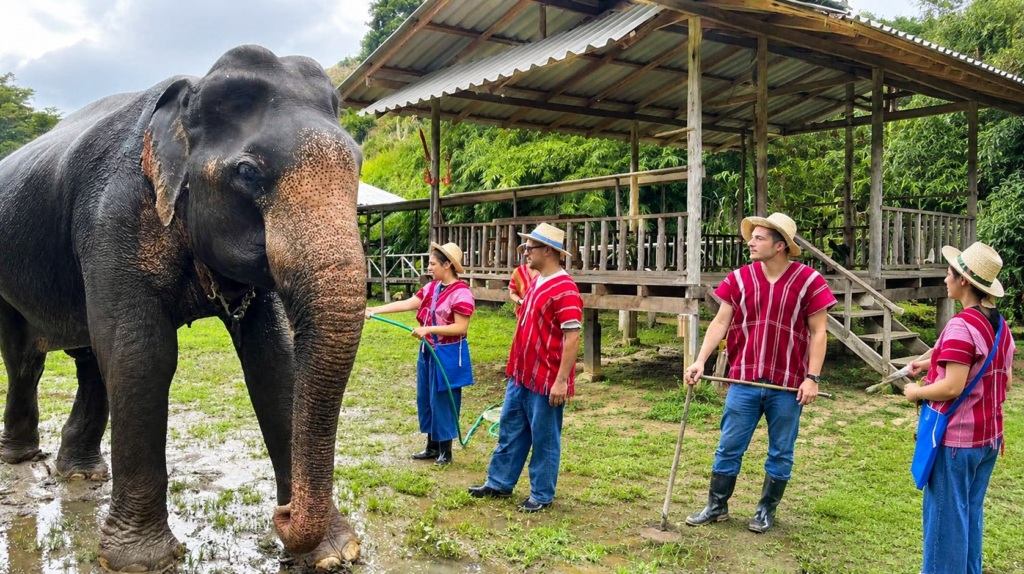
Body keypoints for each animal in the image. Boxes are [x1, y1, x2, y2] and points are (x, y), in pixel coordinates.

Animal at [0, 45, 365, 572]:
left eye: (359, 163)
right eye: (248, 172)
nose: (282, 512)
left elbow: (274, 360)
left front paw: (332, 553)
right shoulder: (114, 218)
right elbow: (141, 355)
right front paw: (141, 560)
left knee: (91, 357)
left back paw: (81, 475)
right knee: (26, 357)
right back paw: (21, 458)